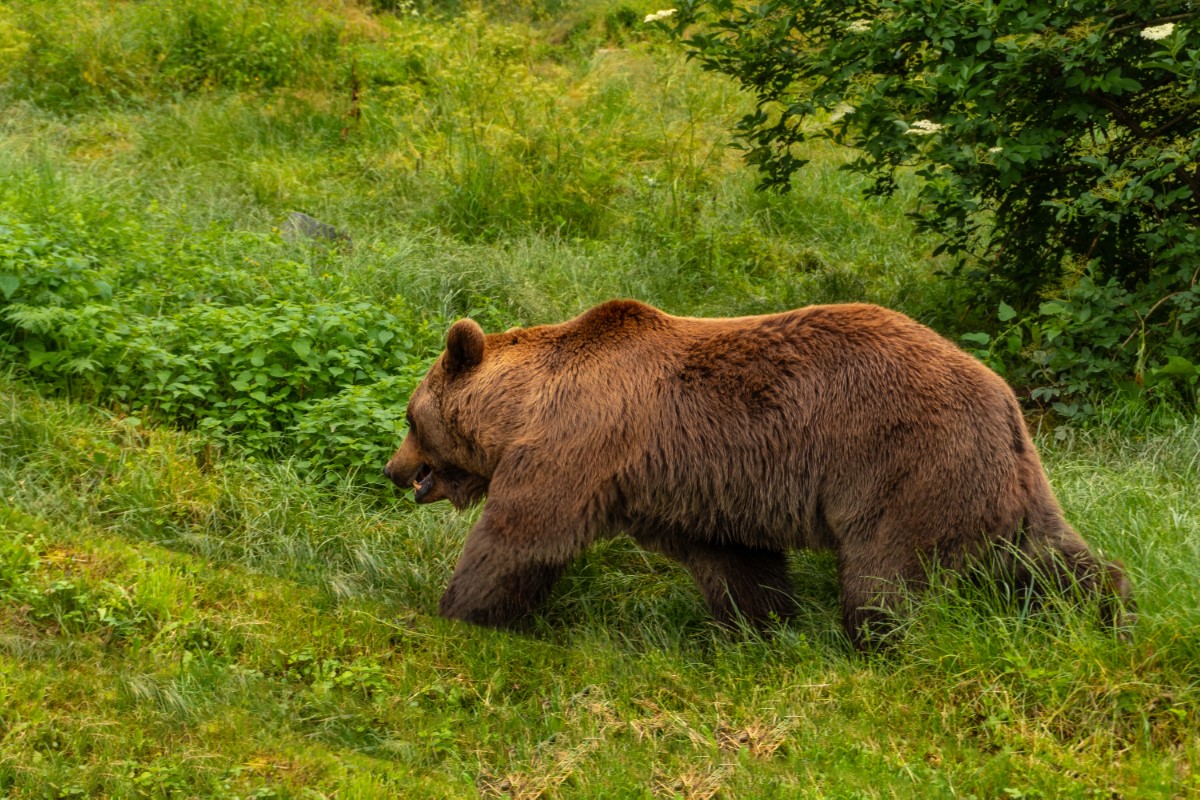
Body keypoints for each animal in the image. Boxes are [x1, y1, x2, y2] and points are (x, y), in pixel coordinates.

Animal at [386, 297, 1132, 647]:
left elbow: (523, 535)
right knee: (1049, 556)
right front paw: (759, 628)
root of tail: (1004, 397)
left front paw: (457, 612)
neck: (523, 407)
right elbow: (737, 563)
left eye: (410, 415)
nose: (395, 470)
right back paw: (1111, 610)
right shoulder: (698, 488)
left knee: (885, 578)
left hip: (906, 463)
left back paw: (878, 643)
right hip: (998, 480)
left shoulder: (578, 443)